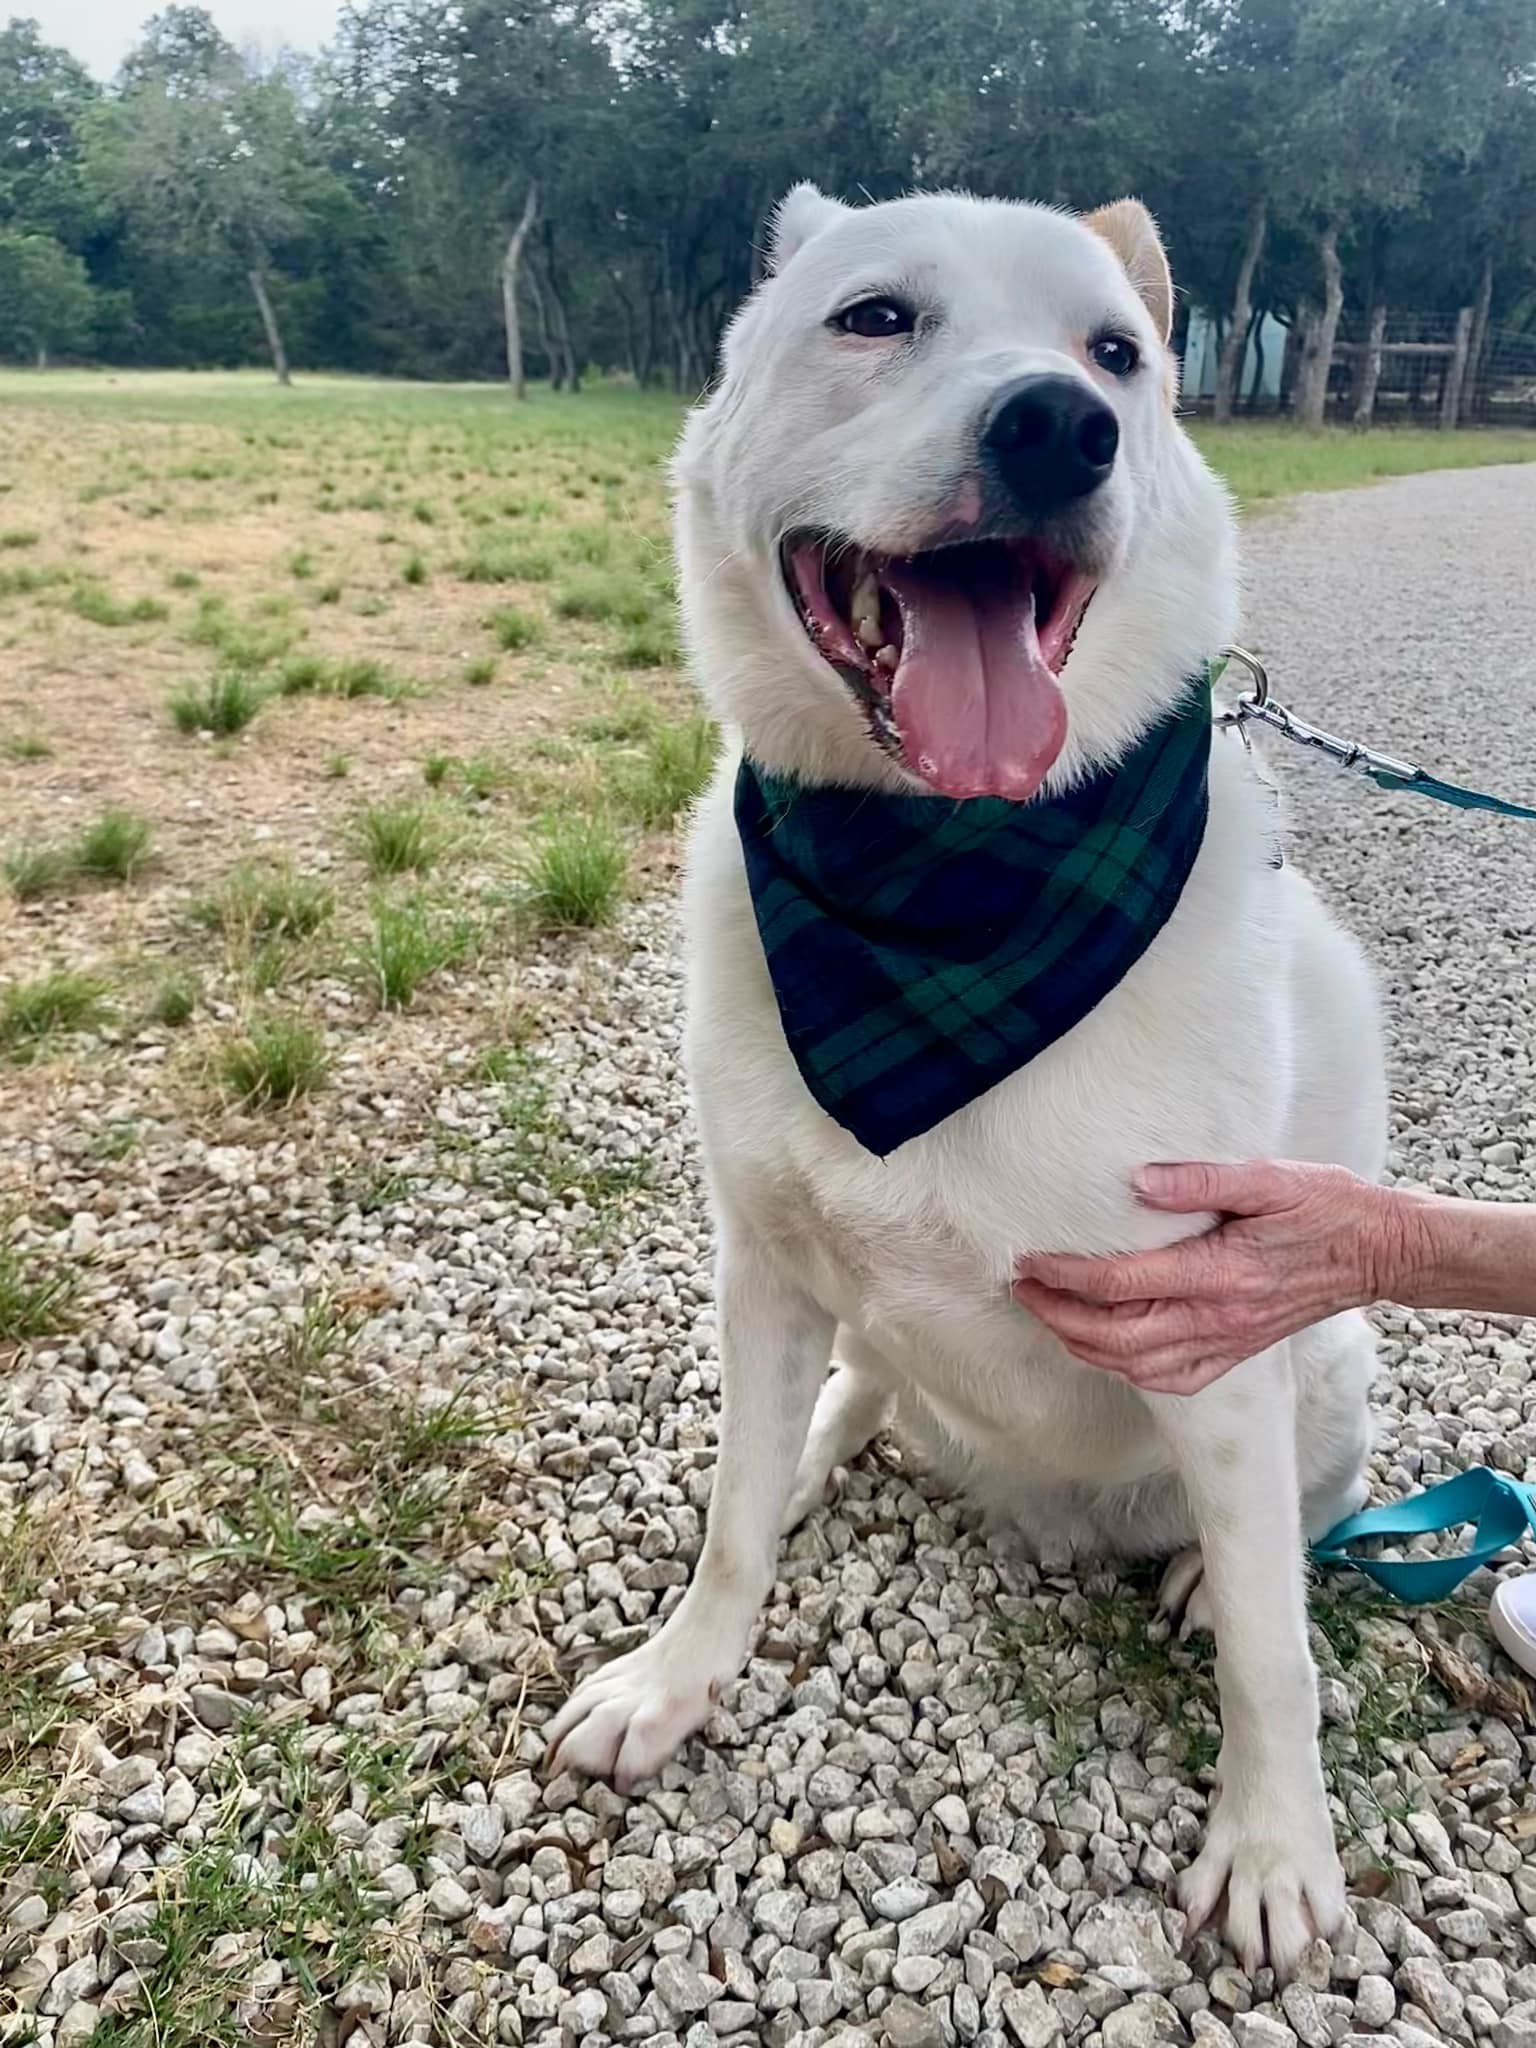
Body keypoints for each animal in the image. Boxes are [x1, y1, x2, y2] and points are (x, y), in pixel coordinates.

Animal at [548, 184, 1392, 1974]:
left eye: (1119, 355)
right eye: (874, 318)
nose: (1062, 427)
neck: (950, 884)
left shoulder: (1215, 1336)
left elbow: (1273, 1652)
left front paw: (1273, 1841)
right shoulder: (763, 1262)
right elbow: (730, 1523)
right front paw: (680, 1679)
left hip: (1331, 1350)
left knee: (1295, 1528)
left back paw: (1199, 1573)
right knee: (862, 1392)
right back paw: (824, 1447)